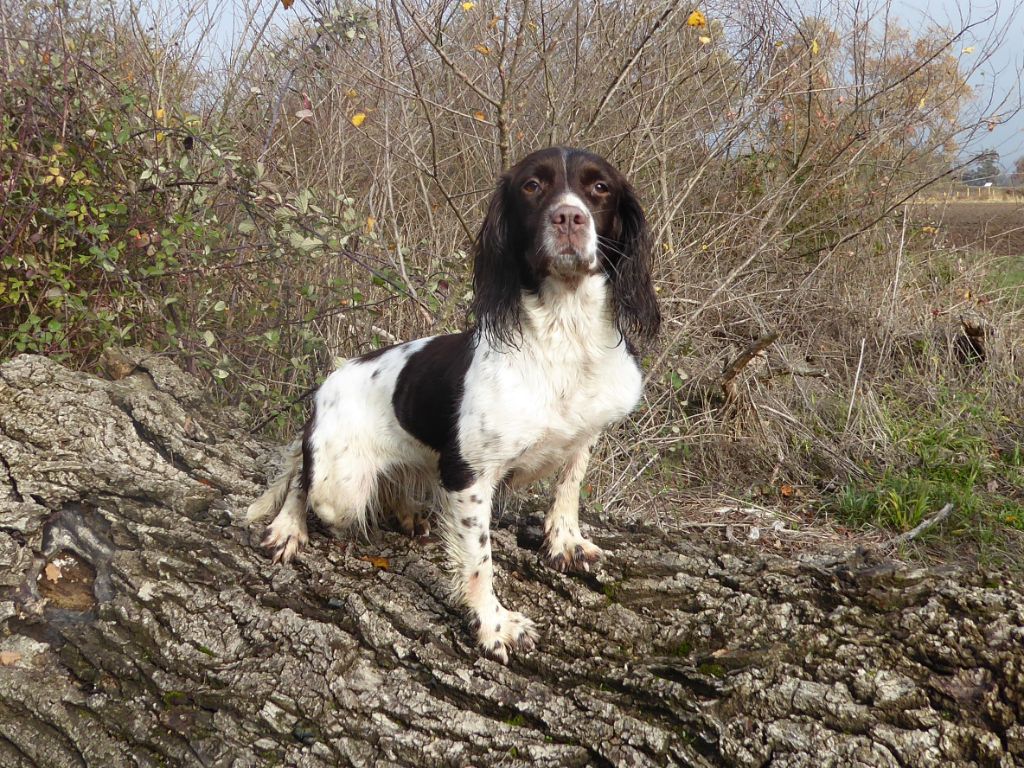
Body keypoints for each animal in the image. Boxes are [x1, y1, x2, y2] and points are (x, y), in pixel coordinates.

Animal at [247, 147, 655, 663]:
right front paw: (494, 626)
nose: (568, 217)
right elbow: (479, 560)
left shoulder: (586, 434)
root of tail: (331, 380)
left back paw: (407, 512)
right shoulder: (470, 475)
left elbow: (570, 485)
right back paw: (288, 527)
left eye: (600, 187)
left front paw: (566, 541)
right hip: (338, 488)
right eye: (532, 186)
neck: (564, 336)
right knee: (303, 478)